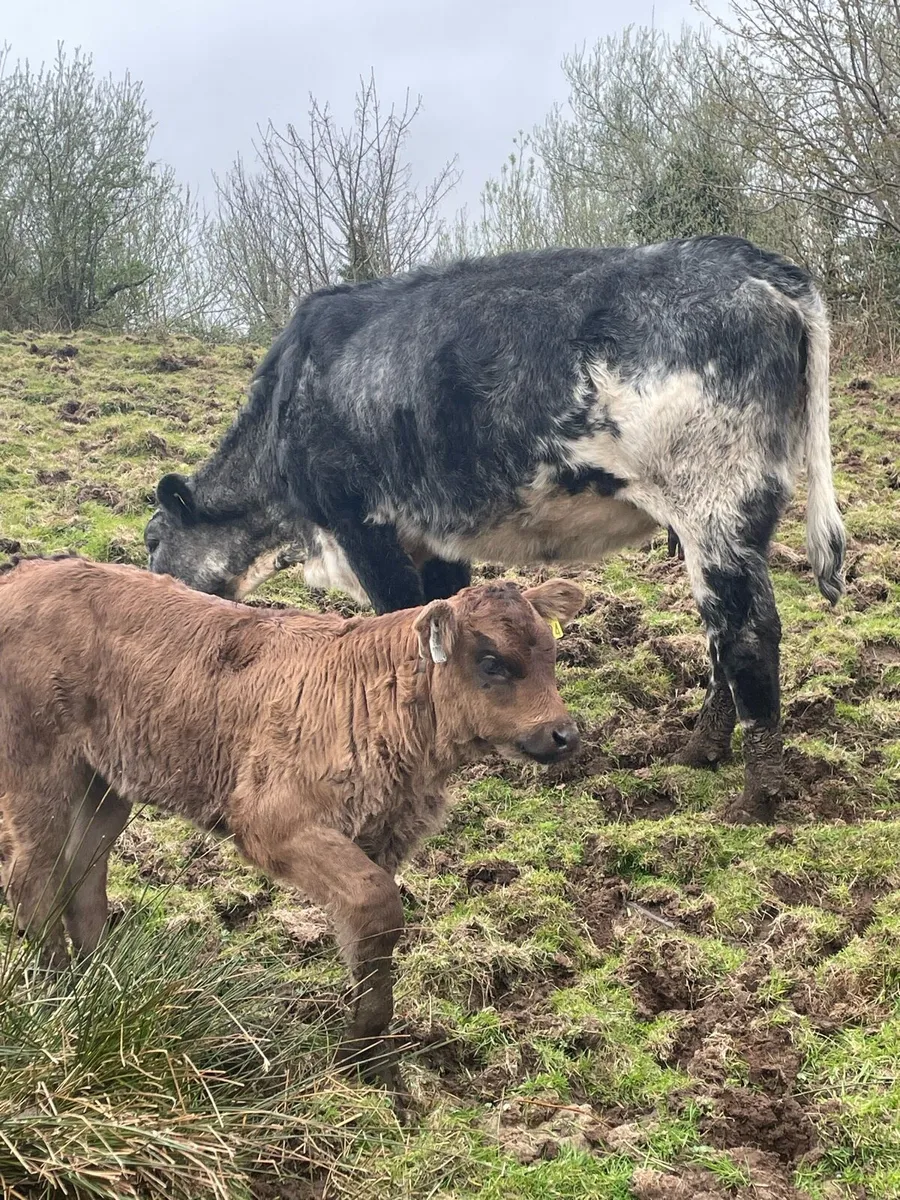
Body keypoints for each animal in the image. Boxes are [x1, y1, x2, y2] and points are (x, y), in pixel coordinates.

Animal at [0, 553, 583, 1087]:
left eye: (552, 654)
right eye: (491, 660)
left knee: (83, 878)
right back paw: (58, 997)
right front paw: (358, 1053)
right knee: (34, 879)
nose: (564, 735)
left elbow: (369, 933)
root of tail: (24, 575)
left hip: (105, 783)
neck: (375, 698)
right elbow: (376, 906)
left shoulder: (379, 839)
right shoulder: (274, 825)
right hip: (39, 769)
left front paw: (371, 1056)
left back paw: (100, 984)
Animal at [144, 235, 846, 823]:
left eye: (152, 542)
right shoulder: (433, 536)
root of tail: (752, 259)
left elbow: (399, 615)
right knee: (720, 632)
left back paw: (755, 797)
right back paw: (700, 750)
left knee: (747, 633)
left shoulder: (361, 524)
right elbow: (440, 616)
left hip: (715, 506)